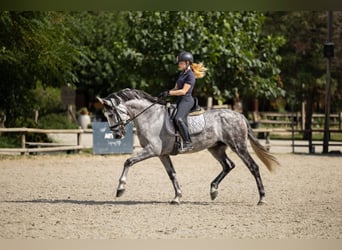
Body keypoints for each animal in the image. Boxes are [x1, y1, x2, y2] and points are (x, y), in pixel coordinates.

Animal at [97, 88, 280, 205]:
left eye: (111, 114)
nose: (117, 135)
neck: (150, 116)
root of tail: (239, 115)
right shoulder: (162, 154)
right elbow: (172, 174)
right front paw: (177, 197)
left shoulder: (152, 150)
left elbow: (128, 161)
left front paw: (120, 189)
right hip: (216, 148)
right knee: (228, 165)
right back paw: (213, 190)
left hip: (238, 146)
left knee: (253, 167)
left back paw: (262, 198)